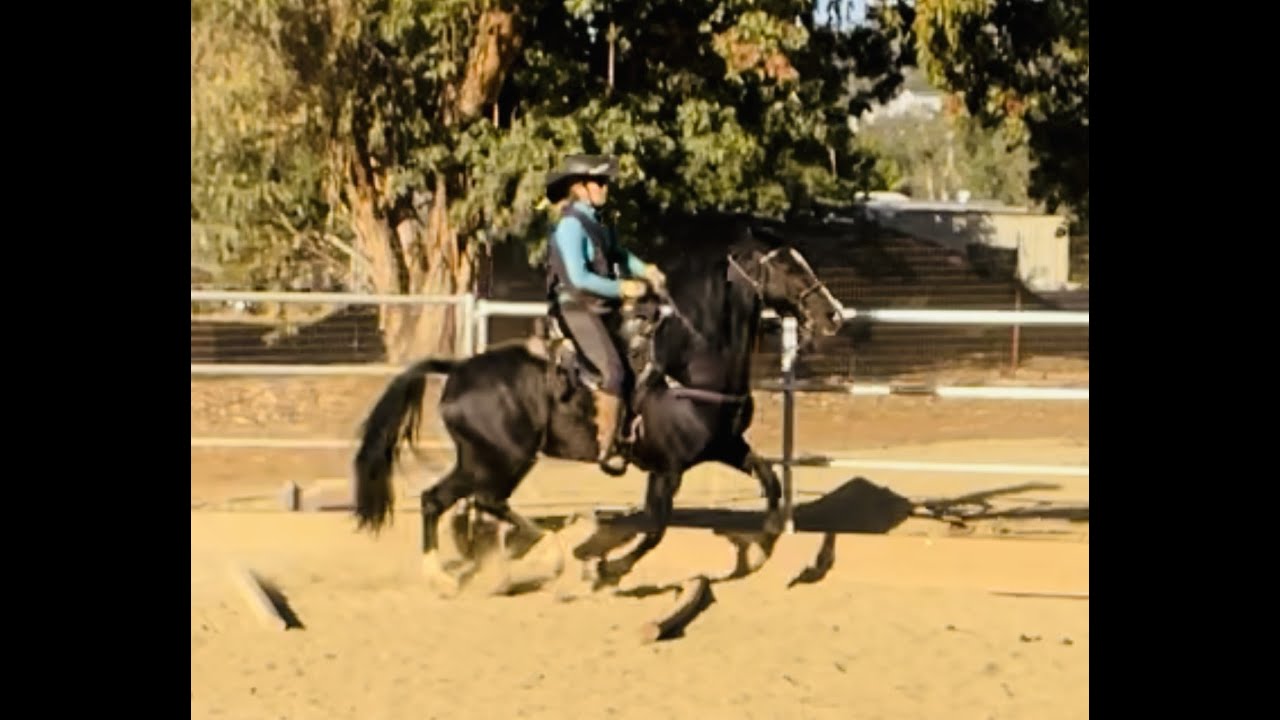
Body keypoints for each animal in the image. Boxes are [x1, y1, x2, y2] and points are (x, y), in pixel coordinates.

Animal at [352, 212, 844, 585]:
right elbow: (655, 529)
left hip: (484, 459)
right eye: (787, 267)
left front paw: (762, 549)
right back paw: (532, 556)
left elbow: (771, 482)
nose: (833, 315)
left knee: (451, 501)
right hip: (500, 459)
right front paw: (608, 568)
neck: (688, 363)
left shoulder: (725, 445)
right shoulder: (666, 469)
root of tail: (458, 370)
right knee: (468, 500)